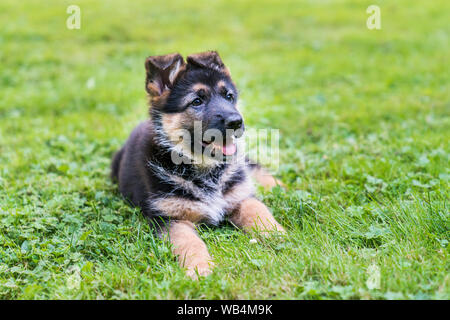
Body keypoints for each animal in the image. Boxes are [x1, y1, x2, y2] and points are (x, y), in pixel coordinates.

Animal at [110, 51, 284, 278]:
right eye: (196, 101)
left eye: (229, 96)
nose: (237, 122)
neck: (205, 169)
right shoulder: (170, 219)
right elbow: (190, 243)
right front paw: (201, 269)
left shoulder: (241, 197)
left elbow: (259, 213)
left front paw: (280, 236)